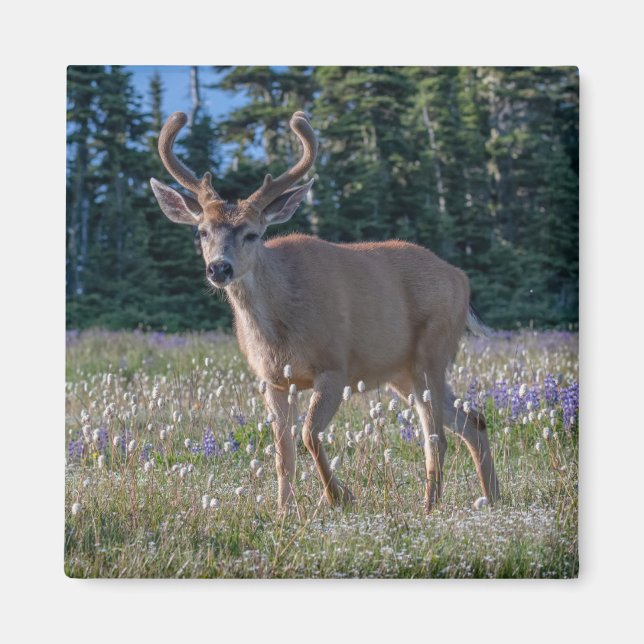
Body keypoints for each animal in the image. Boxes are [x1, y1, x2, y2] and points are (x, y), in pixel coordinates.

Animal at [150, 110, 500, 514]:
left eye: (252, 233)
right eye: (202, 232)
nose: (219, 268)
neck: (279, 326)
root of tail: (461, 278)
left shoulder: (335, 367)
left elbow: (308, 434)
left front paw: (339, 496)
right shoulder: (272, 379)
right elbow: (283, 451)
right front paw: (284, 510)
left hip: (432, 349)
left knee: (436, 437)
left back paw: (429, 506)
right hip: (403, 372)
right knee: (473, 419)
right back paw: (493, 497)